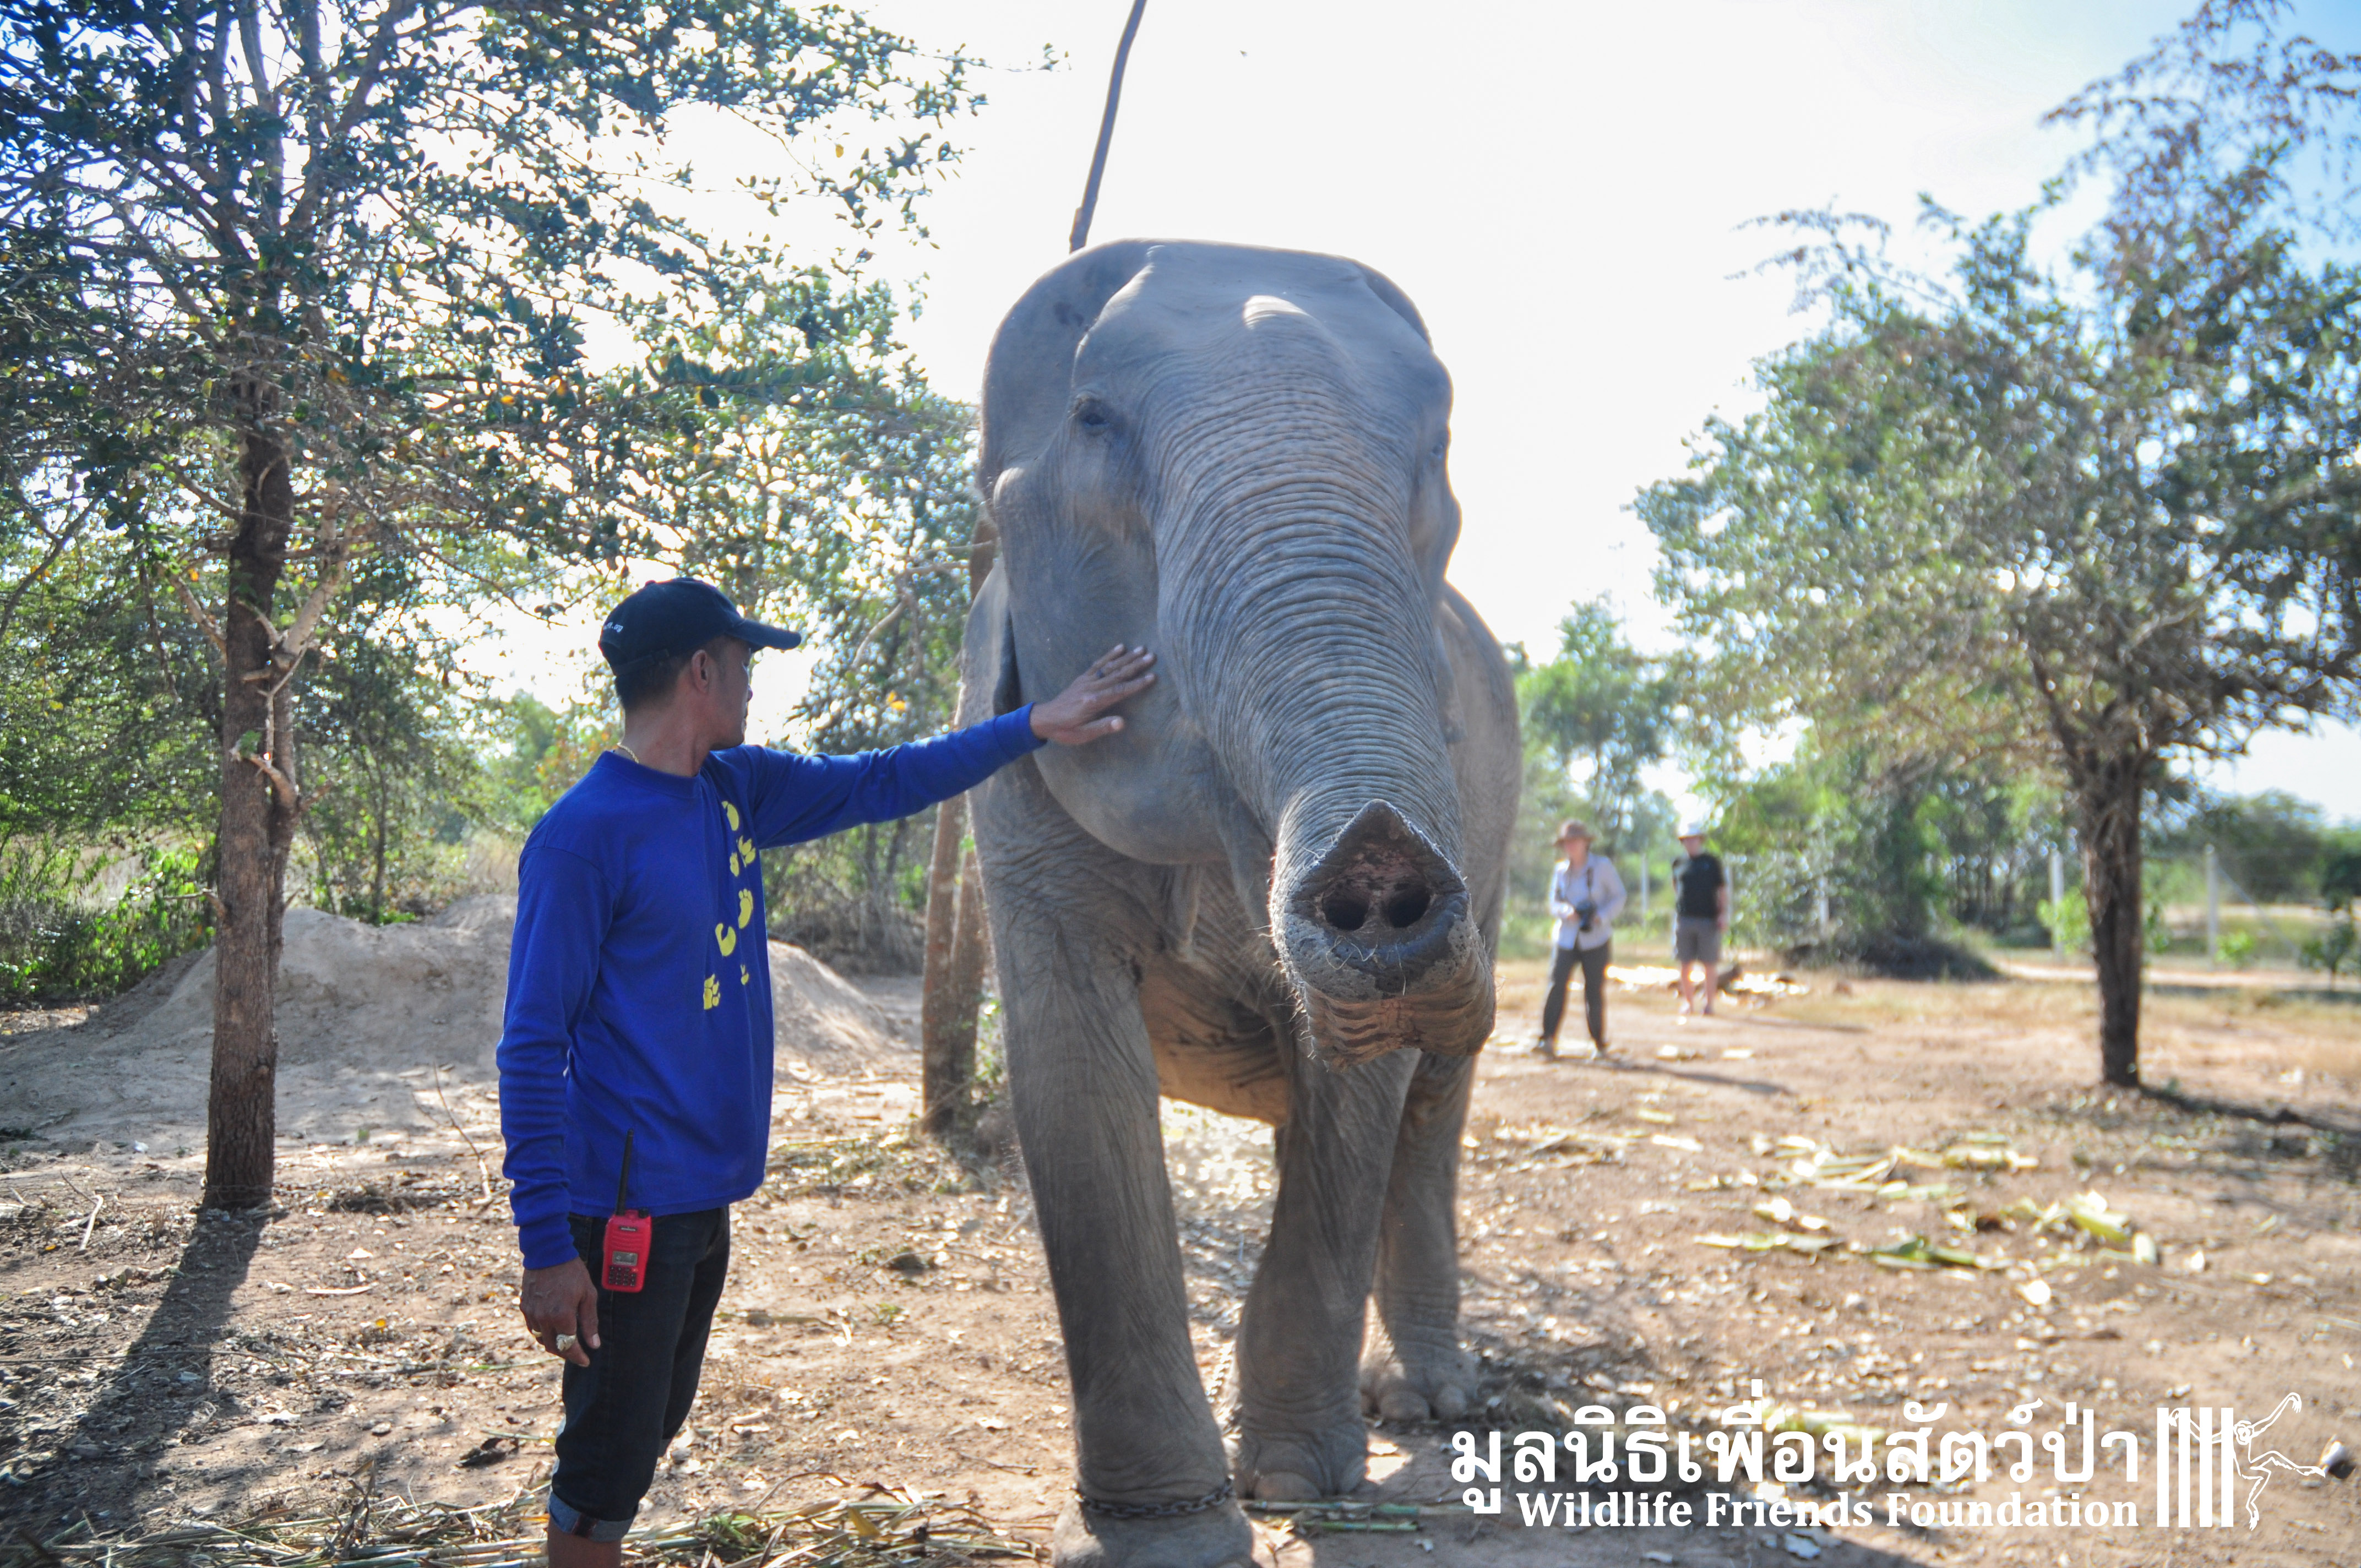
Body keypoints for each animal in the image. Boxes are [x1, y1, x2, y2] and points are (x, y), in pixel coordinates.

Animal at [959, 240, 1520, 1568]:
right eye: (1094, 419)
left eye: (1440, 450)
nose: (1381, 872)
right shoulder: (1010, 765)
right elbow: (1072, 1072)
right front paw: (1161, 1540)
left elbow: (1359, 1086)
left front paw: (1295, 1478)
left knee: (1430, 1115)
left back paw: (1423, 1402)